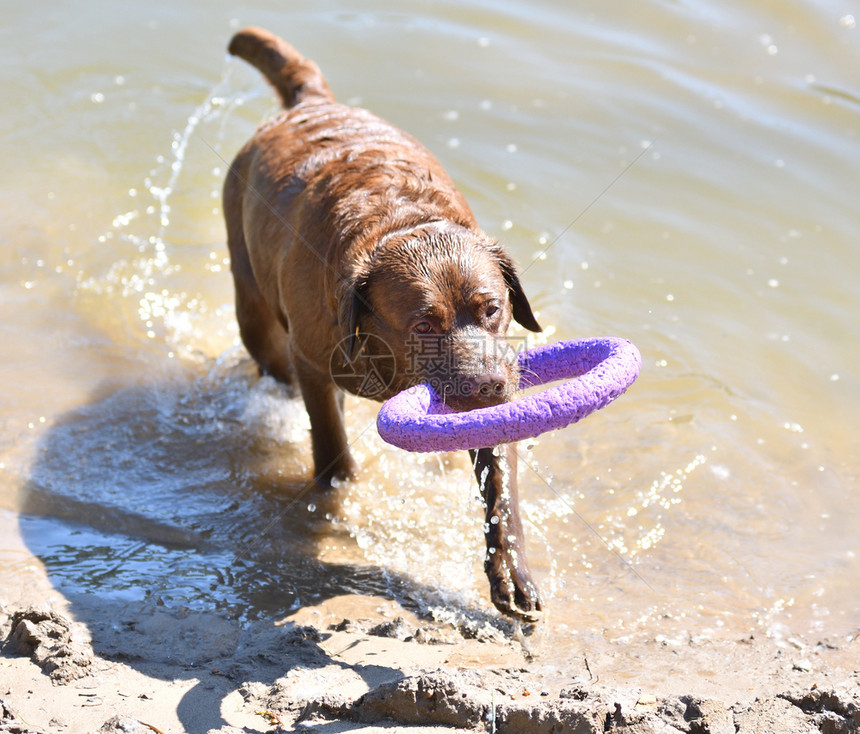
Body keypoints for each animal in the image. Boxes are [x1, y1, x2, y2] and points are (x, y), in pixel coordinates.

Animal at [225, 25, 540, 620]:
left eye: (491, 309)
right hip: (251, 301)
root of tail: (312, 102)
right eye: (423, 325)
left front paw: (511, 574)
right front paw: (339, 496)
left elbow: (500, 490)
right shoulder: (313, 361)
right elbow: (331, 448)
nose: (487, 384)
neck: (400, 224)